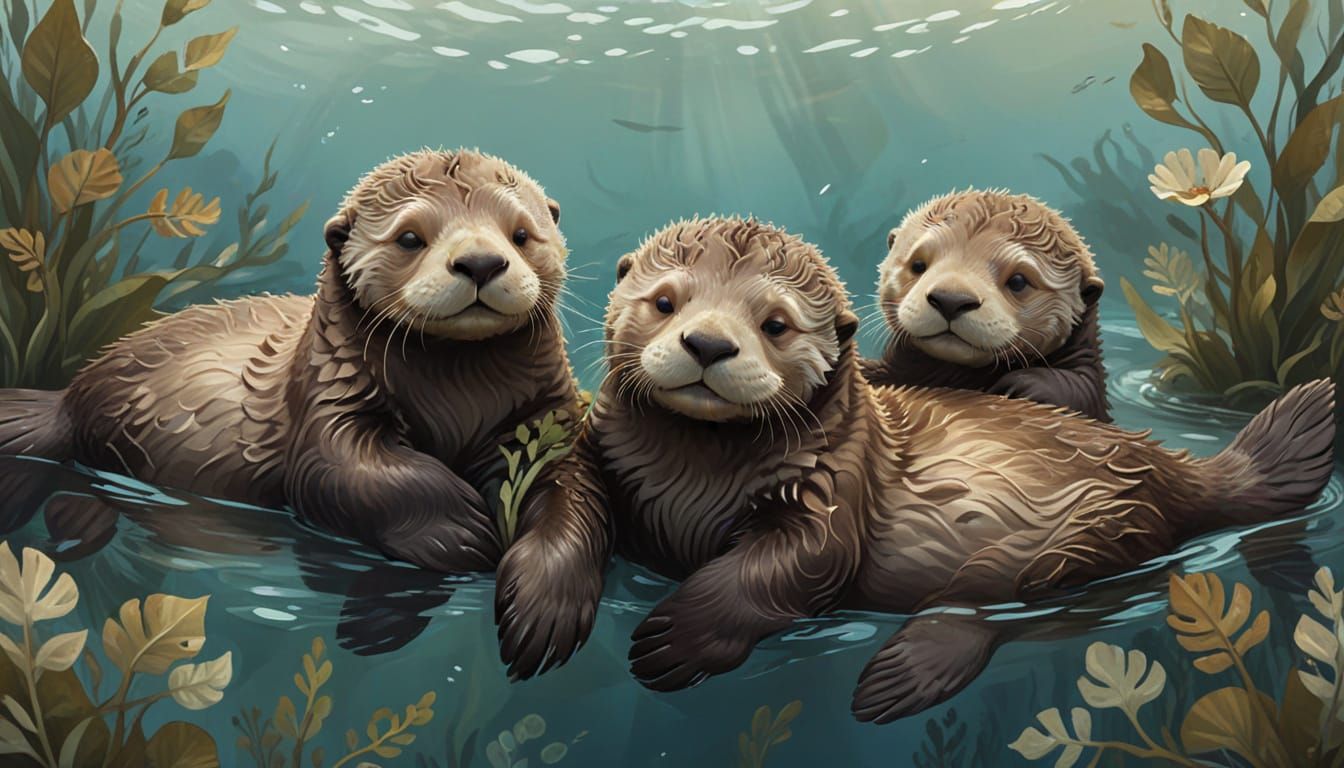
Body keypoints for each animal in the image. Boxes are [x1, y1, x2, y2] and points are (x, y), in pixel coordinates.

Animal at [0, 149, 579, 573]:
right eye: (411, 237)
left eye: (521, 234)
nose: (481, 262)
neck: (459, 395)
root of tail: (71, 392)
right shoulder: (330, 395)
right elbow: (340, 468)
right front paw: (460, 529)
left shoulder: (543, 411)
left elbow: (562, 477)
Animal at [493, 216, 1334, 721]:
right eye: (665, 303)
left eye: (774, 324)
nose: (707, 344)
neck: (695, 474)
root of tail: (1179, 469)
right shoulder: (599, 457)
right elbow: (567, 507)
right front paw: (541, 610)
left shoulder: (833, 487)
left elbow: (788, 567)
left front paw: (675, 641)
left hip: (1091, 539)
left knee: (1017, 615)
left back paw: (898, 678)